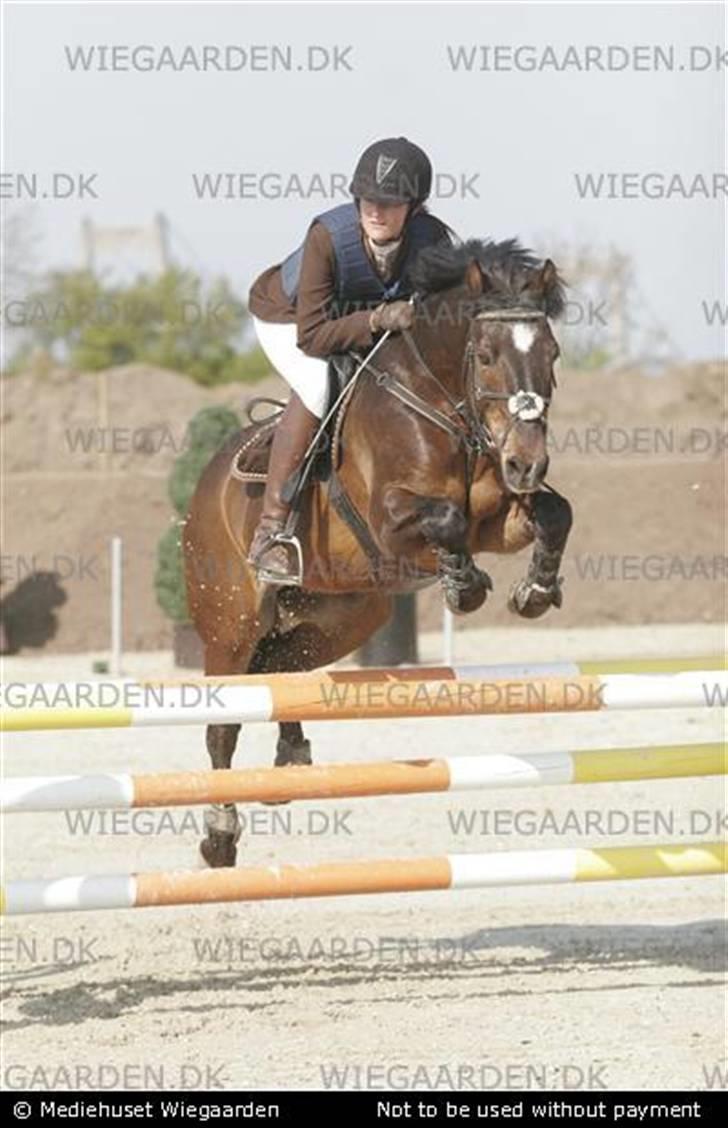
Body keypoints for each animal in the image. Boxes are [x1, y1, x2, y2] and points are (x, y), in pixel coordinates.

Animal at [182, 238, 573, 866]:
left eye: (552, 353)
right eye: (486, 355)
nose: (527, 462)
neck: (445, 403)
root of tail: (203, 488)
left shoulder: (501, 519)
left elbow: (554, 513)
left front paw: (535, 590)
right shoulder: (391, 523)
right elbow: (447, 520)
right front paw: (464, 585)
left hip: (343, 618)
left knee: (281, 670)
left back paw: (289, 762)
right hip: (229, 625)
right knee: (225, 723)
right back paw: (219, 837)